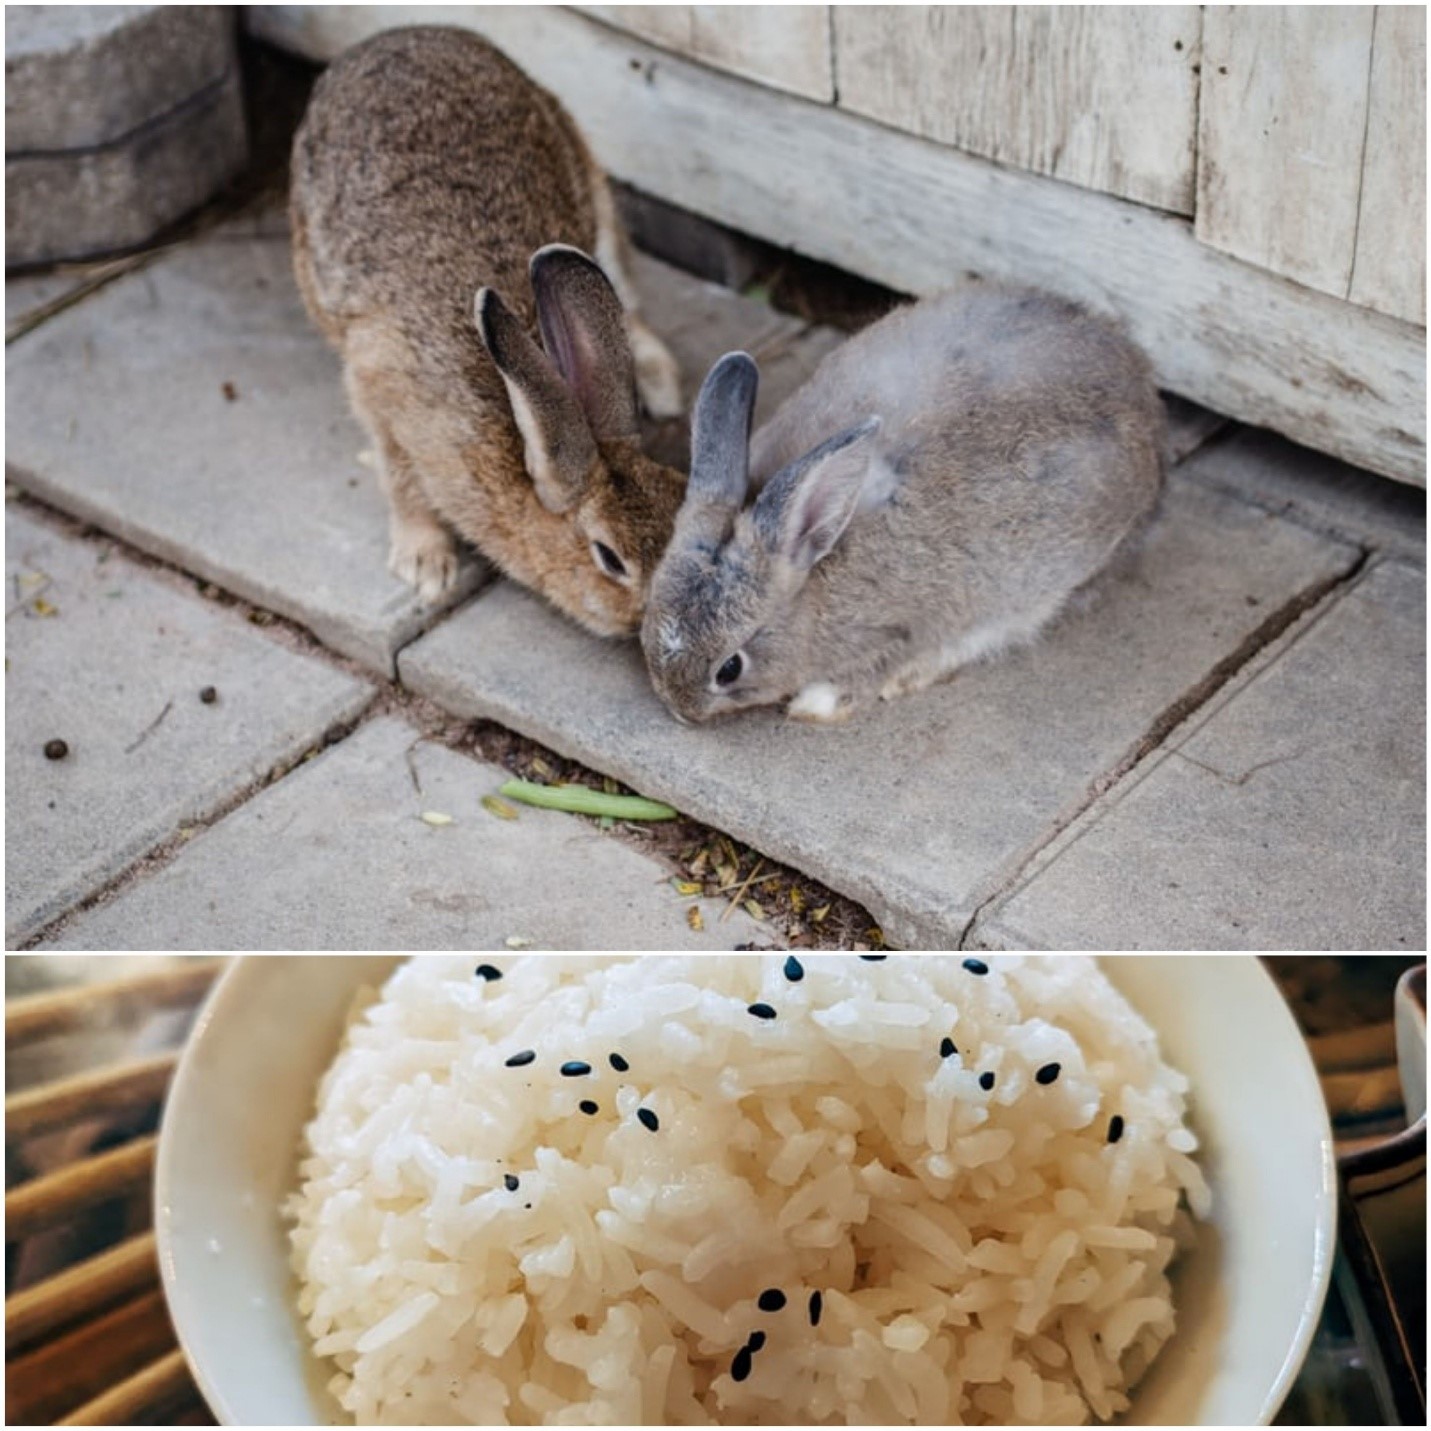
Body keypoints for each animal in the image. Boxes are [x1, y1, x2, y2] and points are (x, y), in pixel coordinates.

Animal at [290, 26, 685, 635]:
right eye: (610, 558)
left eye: (679, 512)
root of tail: (399, 36)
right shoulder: (378, 381)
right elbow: (399, 474)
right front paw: (426, 565)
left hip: (587, 178)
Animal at [642, 284, 1164, 722]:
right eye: (648, 613)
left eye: (730, 667)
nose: (679, 710)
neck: (814, 575)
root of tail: (1139, 382)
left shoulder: (905, 627)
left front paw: (818, 704)